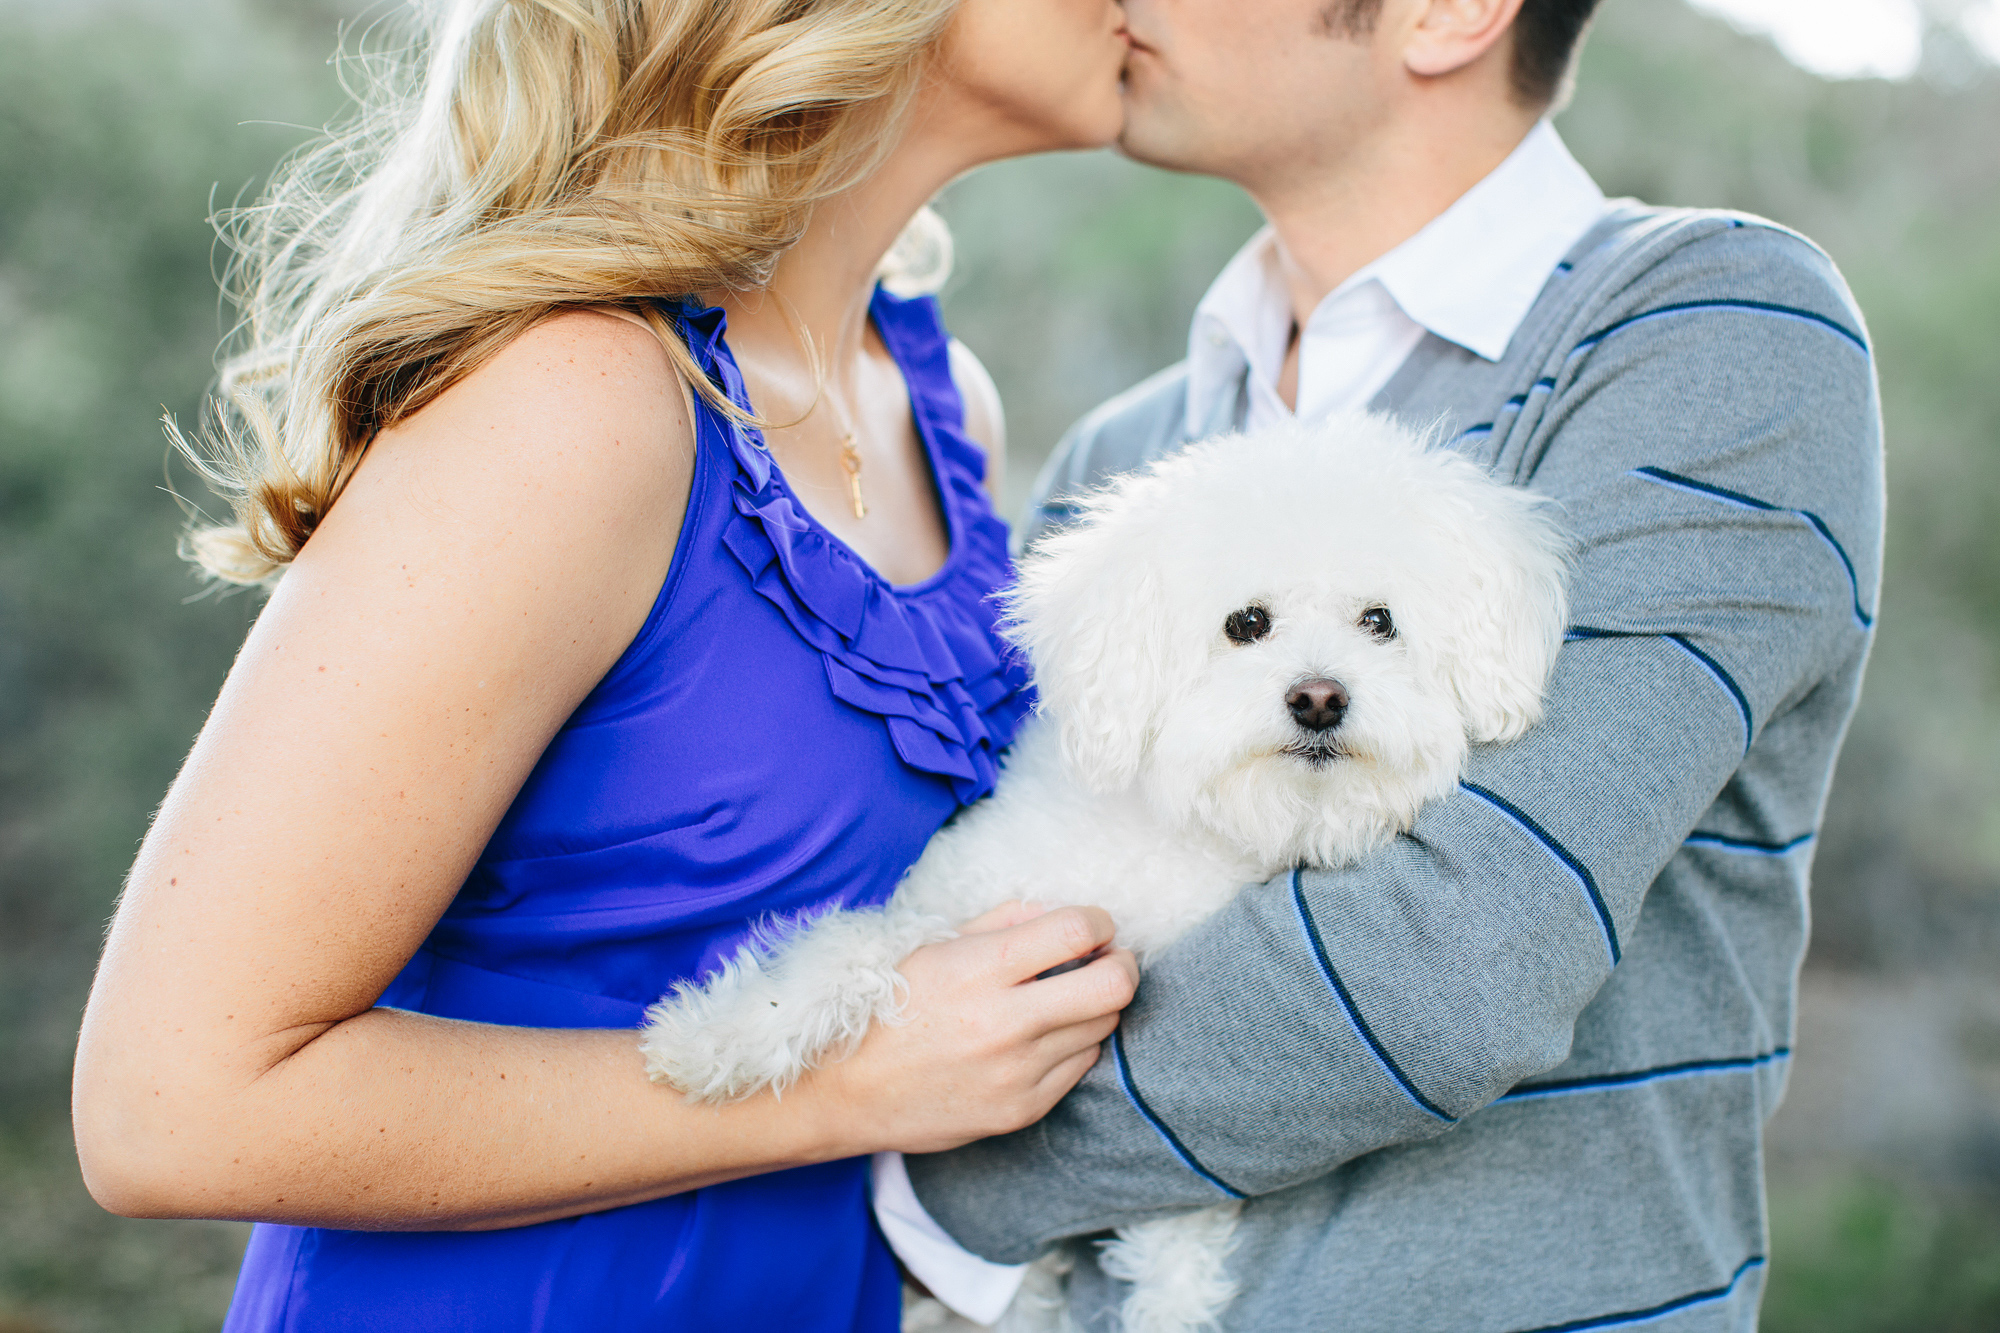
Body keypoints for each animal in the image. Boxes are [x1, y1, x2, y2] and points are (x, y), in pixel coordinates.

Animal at [648, 416, 1568, 1328]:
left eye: (1379, 620)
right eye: (1246, 622)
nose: (1319, 698)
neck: (1182, 839)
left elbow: (1178, 1225)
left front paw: (1168, 1306)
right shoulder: (959, 897)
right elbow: (853, 950)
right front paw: (716, 1037)